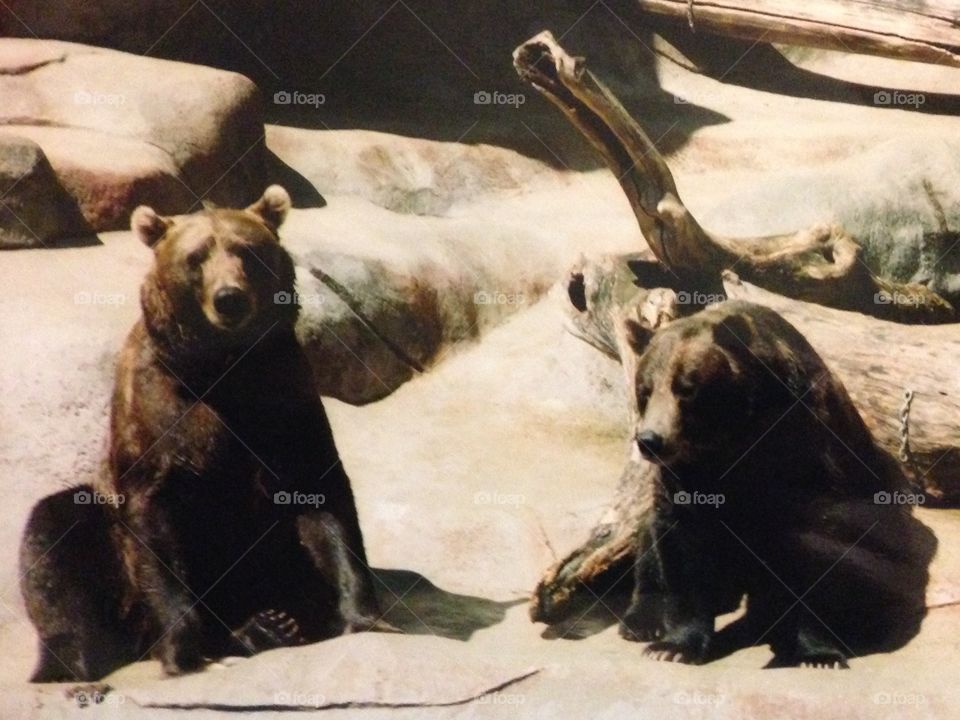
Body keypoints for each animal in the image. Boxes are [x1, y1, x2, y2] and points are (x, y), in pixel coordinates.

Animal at [20, 186, 385, 682]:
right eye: (196, 257)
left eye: (247, 251)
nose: (230, 298)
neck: (223, 367)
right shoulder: (160, 414)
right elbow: (154, 519)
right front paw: (183, 652)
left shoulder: (286, 396)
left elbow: (321, 495)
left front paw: (362, 615)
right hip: (110, 555)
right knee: (57, 533)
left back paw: (271, 624)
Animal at [616, 300, 936, 668]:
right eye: (644, 390)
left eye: (687, 388)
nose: (650, 440)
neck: (733, 438)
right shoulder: (689, 474)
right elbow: (683, 543)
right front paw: (674, 646)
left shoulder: (806, 452)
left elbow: (820, 549)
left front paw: (818, 652)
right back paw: (643, 620)